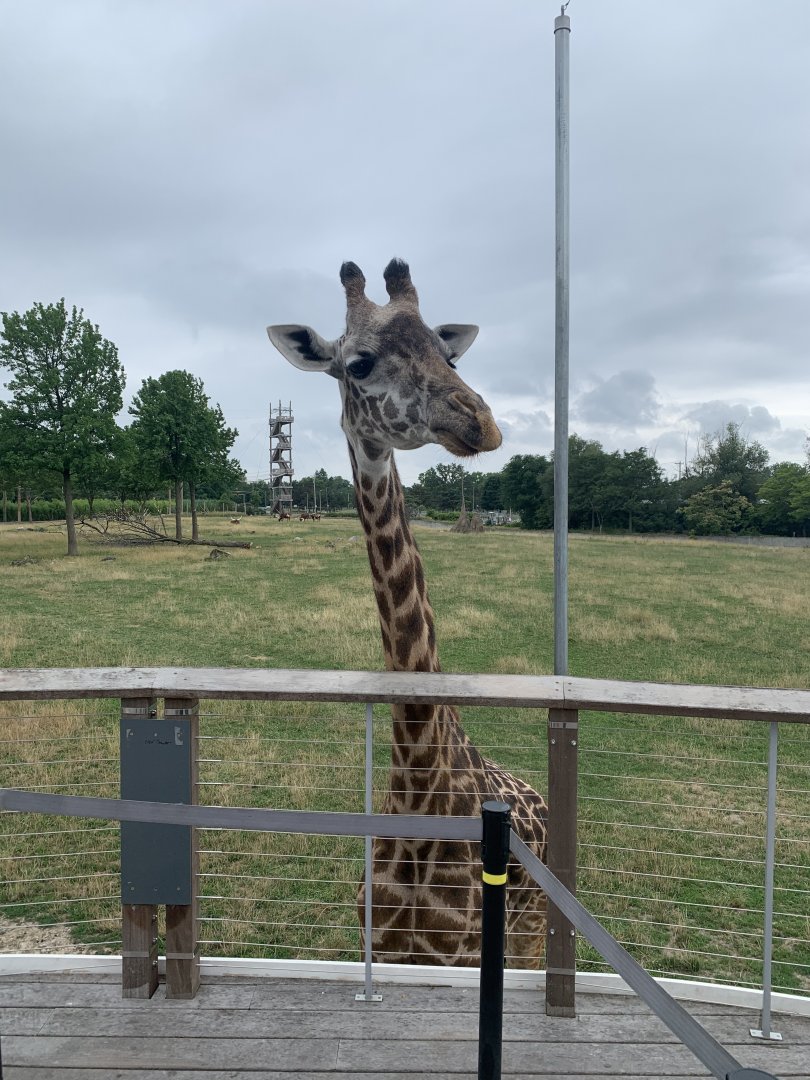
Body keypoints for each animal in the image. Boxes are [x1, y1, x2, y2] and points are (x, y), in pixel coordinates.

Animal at [267, 259, 548, 967]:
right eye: (358, 362)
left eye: (447, 353)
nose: (480, 422)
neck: (422, 784)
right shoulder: (384, 949)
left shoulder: (465, 956)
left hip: (532, 932)